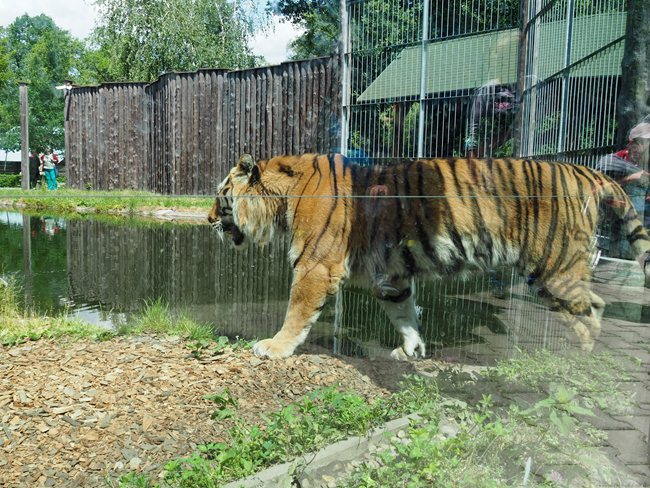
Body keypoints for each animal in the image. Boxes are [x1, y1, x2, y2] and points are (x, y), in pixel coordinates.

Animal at [208, 153, 650, 360]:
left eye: (220, 194)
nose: (208, 218)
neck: (281, 200)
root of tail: (584, 171)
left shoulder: (315, 265)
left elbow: (297, 311)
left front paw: (274, 347)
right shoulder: (391, 277)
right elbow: (405, 314)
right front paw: (410, 351)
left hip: (554, 267)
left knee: (590, 312)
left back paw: (575, 361)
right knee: (595, 305)